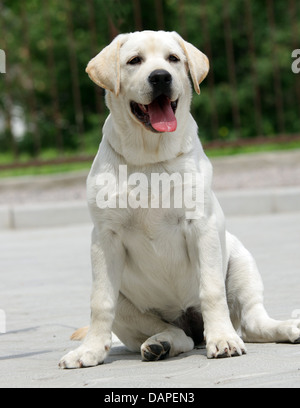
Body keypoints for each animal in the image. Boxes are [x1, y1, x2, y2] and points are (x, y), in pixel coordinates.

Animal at [59, 31, 300, 370]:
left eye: (173, 58)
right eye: (134, 61)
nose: (161, 77)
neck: (150, 157)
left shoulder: (202, 226)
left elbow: (211, 290)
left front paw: (223, 340)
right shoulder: (105, 239)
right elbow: (100, 303)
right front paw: (90, 351)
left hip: (241, 261)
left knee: (252, 323)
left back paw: (283, 327)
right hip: (128, 305)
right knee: (178, 335)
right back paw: (159, 344)